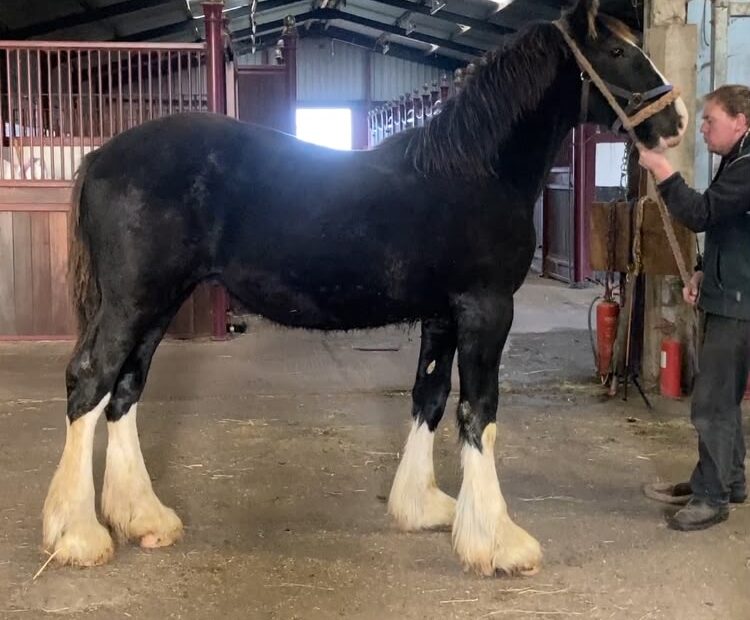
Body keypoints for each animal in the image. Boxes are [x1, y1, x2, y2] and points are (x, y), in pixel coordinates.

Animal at [42, 0, 687, 576]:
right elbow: (479, 411)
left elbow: (429, 398)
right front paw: (500, 544)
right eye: (615, 52)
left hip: (158, 303)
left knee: (125, 389)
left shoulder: (442, 315)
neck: (474, 171)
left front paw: (423, 507)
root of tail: (100, 157)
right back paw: (77, 535)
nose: (675, 120)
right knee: (90, 382)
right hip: (132, 301)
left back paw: (142, 519)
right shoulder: (485, 310)